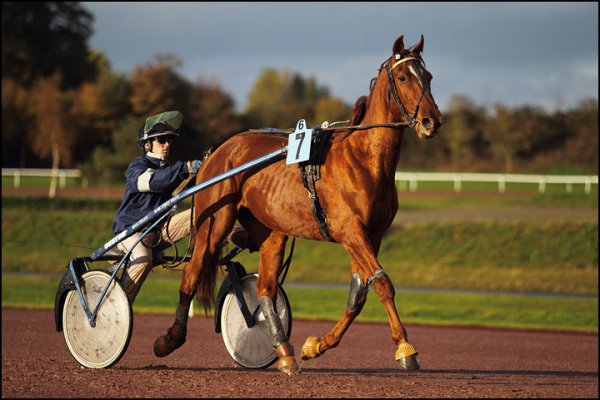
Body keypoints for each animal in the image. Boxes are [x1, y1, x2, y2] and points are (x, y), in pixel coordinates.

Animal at [155, 35, 442, 376]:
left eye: (428, 77)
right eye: (402, 77)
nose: (432, 121)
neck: (364, 160)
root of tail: (217, 151)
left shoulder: (372, 235)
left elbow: (358, 295)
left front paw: (316, 345)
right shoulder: (350, 232)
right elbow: (382, 283)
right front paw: (405, 348)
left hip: (271, 231)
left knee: (265, 288)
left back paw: (284, 351)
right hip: (214, 222)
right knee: (193, 272)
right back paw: (170, 338)